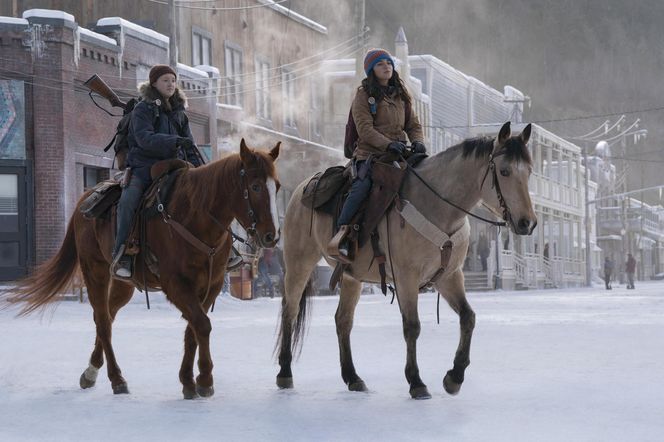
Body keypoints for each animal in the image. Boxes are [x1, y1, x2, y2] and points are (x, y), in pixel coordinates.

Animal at [0, 140, 280, 398]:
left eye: (276, 186)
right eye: (255, 186)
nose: (271, 236)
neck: (194, 216)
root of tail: (84, 200)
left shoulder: (211, 284)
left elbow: (193, 328)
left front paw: (188, 380)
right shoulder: (175, 284)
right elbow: (201, 324)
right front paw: (204, 379)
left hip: (123, 284)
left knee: (107, 316)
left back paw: (91, 371)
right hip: (94, 271)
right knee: (102, 320)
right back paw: (116, 378)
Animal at [278, 122, 536, 398]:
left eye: (529, 171)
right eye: (504, 171)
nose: (527, 223)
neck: (437, 207)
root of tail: (302, 189)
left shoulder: (449, 276)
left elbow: (468, 317)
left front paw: (454, 376)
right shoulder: (406, 278)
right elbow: (412, 326)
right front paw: (416, 381)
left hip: (350, 276)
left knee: (343, 320)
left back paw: (353, 377)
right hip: (299, 263)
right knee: (290, 311)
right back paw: (285, 373)